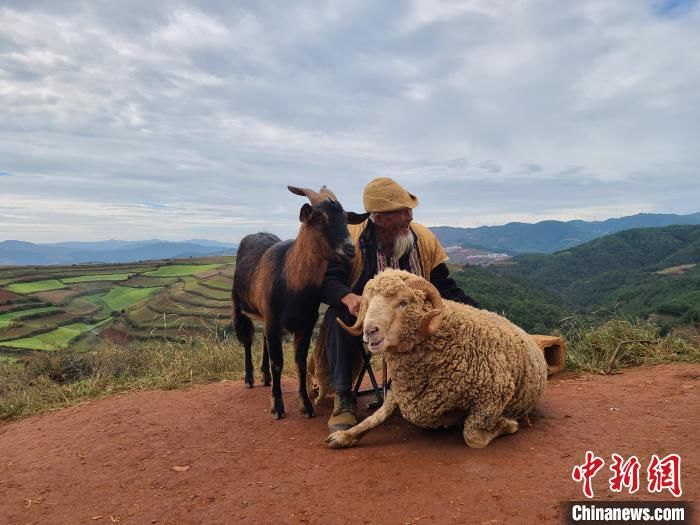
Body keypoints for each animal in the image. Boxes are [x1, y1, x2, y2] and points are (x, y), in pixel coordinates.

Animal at [326, 270, 548, 446]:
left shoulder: (495, 395)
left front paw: (508, 424)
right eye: (368, 303)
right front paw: (344, 435)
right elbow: (374, 418)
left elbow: (472, 435)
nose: (370, 331)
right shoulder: (397, 393)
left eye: (403, 302)